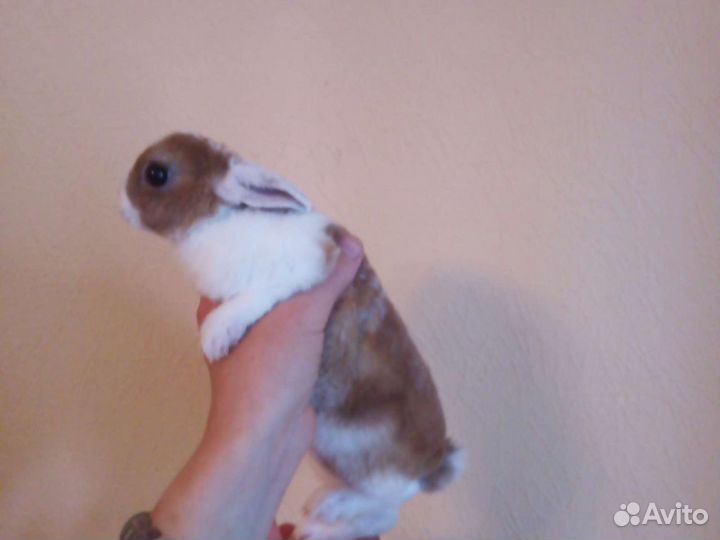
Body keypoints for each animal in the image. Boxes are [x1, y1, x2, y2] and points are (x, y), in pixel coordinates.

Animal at [121, 133, 463, 540]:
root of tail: (433, 467)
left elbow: (251, 299)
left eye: (157, 174)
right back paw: (318, 514)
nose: (121, 205)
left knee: (386, 510)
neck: (219, 219)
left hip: (367, 463)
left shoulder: (296, 273)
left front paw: (215, 338)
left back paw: (325, 518)